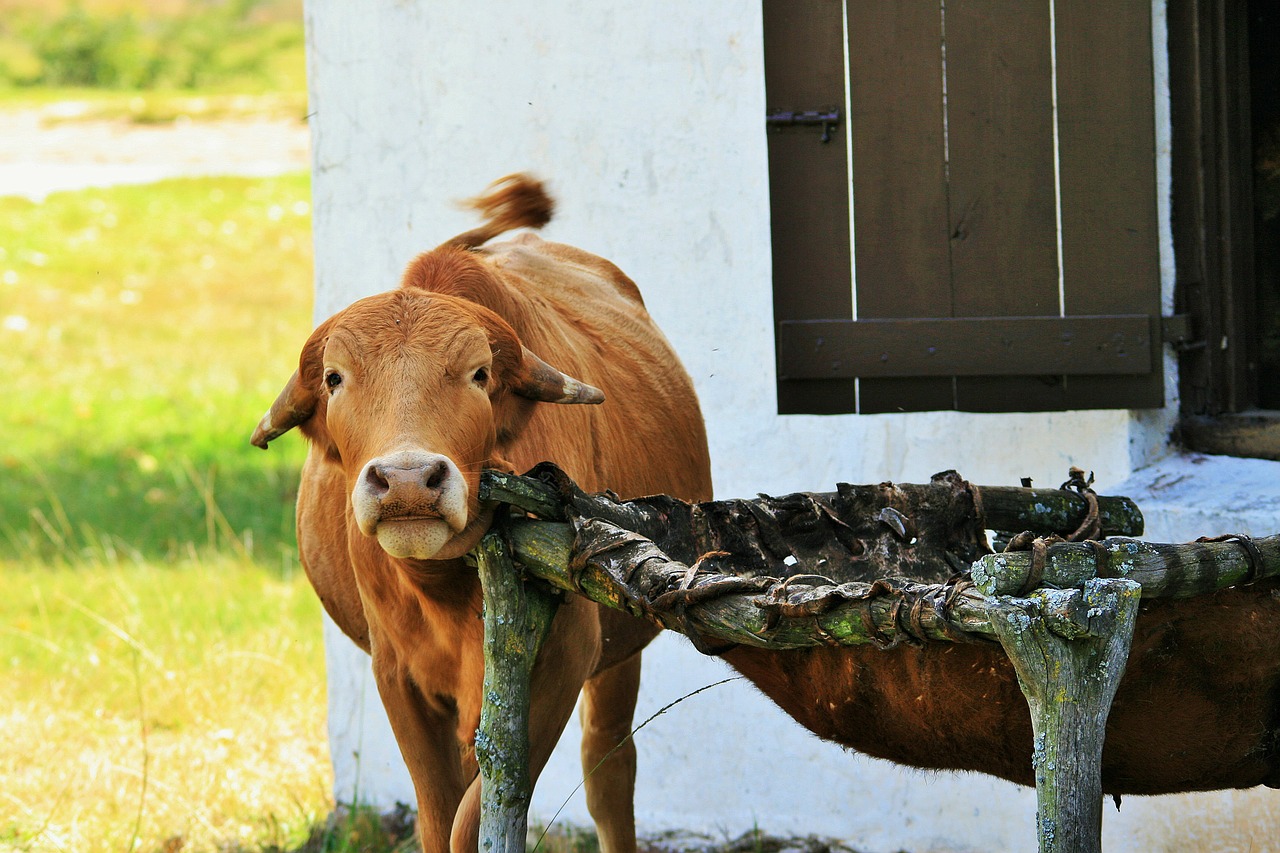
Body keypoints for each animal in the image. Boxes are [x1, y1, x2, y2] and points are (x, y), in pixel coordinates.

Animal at [248, 172, 711, 850]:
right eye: (334, 377)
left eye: (479, 374)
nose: (407, 481)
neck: (444, 588)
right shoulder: (398, 678)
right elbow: (439, 815)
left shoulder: (562, 660)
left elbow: (477, 816)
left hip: (620, 650)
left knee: (609, 771)